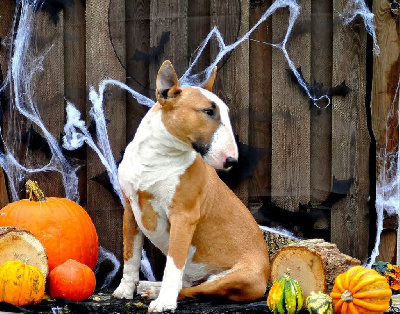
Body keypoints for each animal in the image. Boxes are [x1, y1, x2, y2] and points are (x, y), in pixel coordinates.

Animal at [111, 60, 270, 312]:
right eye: (208, 111)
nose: (232, 161)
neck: (157, 156)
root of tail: (266, 275)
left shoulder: (183, 216)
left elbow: (173, 265)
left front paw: (164, 302)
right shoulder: (130, 210)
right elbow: (130, 256)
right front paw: (125, 289)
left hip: (239, 278)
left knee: (194, 289)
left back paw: (158, 293)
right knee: (187, 282)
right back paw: (151, 287)